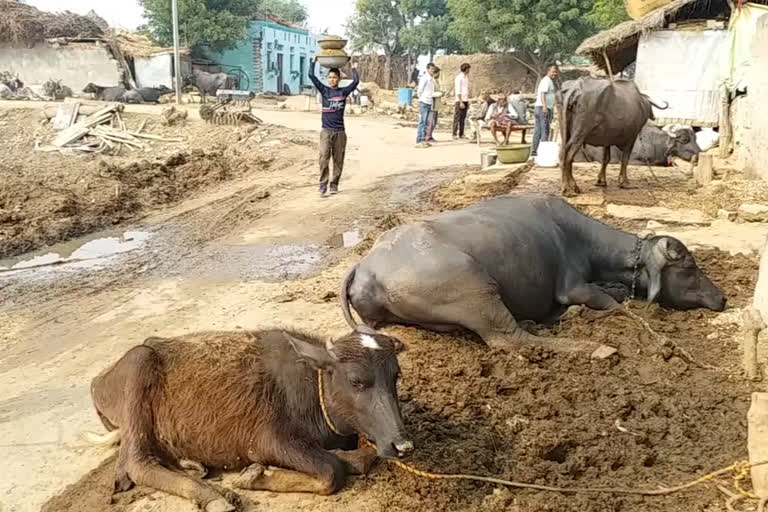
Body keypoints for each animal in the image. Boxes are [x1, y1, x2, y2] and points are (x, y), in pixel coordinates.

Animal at [86, 328, 414, 512]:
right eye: (357, 381)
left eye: (396, 375)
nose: (403, 445)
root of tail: (98, 380)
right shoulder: (268, 441)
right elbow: (330, 470)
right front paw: (256, 475)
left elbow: (363, 457)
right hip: (139, 369)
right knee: (138, 463)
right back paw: (213, 497)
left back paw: (194, 466)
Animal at [340, 192, 728, 356]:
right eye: (689, 267)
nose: (722, 298)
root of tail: (367, 265)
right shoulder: (574, 287)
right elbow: (615, 305)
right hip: (474, 285)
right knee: (509, 339)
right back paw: (595, 347)